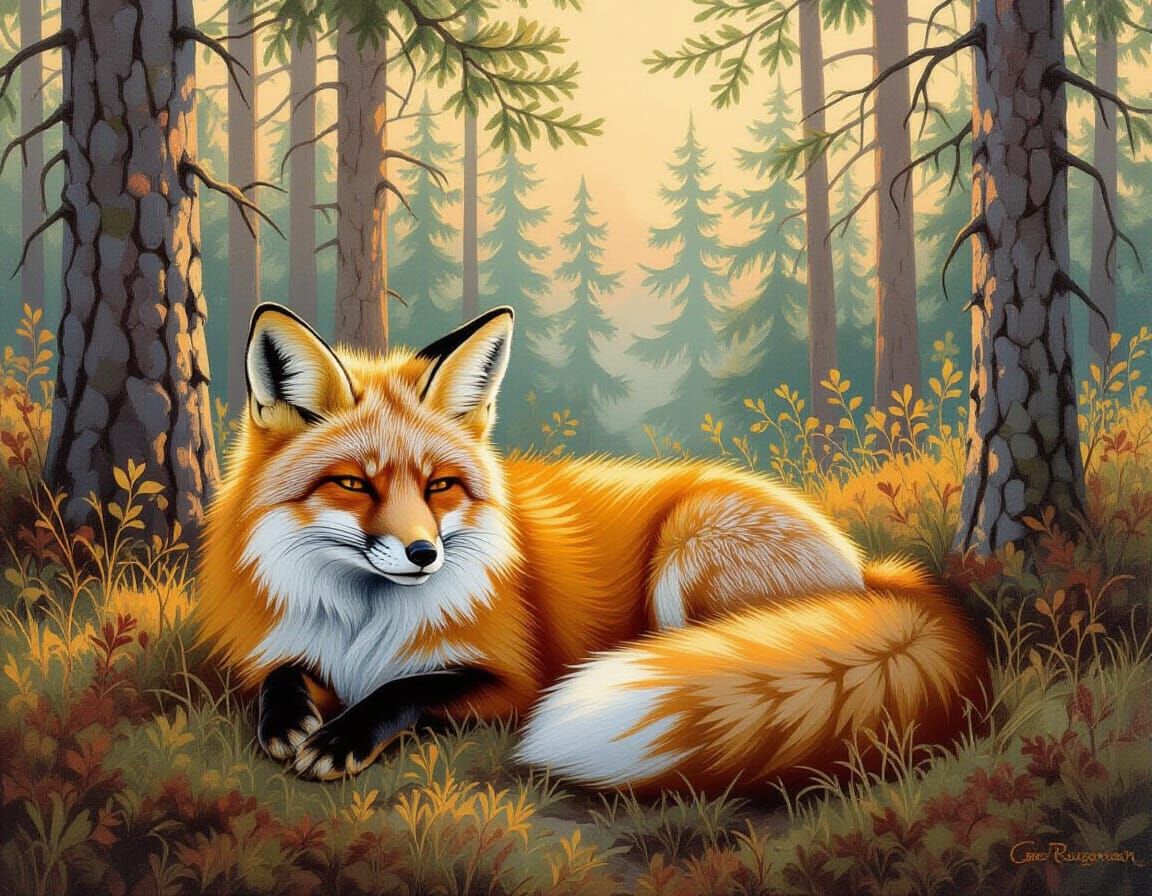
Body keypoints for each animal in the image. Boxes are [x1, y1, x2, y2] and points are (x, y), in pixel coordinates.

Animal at [196, 303, 990, 792]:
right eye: (355, 484)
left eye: (440, 486)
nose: (424, 555)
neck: (364, 625)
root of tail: (871, 570)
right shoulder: (286, 644)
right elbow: (282, 671)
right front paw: (289, 715)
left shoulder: (511, 679)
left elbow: (409, 688)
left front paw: (343, 736)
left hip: (689, 550)